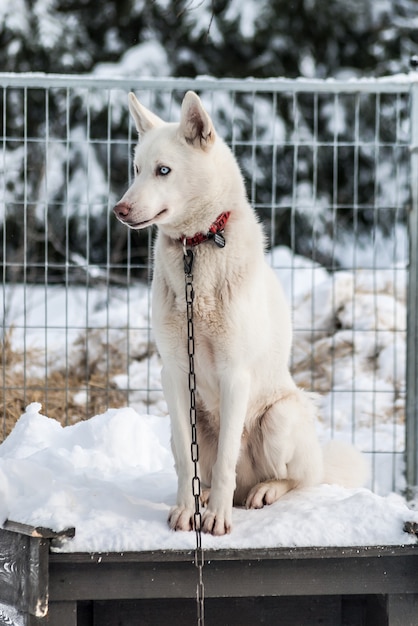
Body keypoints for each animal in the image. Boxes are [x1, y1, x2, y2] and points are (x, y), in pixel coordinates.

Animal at [114, 90, 366, 532]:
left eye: (164, 171)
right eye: (137, 169)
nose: (120, 210)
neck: (195, 249)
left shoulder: (235, 374)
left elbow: (226, 460)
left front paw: (215, 520)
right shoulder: (174, 373)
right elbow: (187, 463)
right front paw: (187, 511)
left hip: (279, 418)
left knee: (294, 479)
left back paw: (262, 492)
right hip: (192, 422)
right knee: (205, 469)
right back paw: (211, 496)